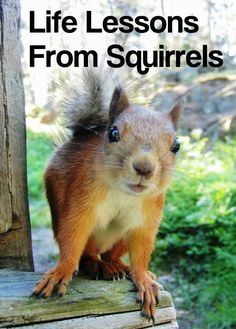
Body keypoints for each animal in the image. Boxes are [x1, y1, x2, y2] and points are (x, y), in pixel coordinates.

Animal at [32, 66, 183, 320]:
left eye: (176, 146)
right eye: (113, 134)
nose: (144, 168)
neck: (124, 192)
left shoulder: (148, 216)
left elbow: (142, 248)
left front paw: (142, 278)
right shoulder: (83, 197)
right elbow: (73, 234)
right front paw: (62, 270)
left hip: (121, 238)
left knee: (112, 253)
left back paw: (120, 266)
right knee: (88, 254)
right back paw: (98, 265)